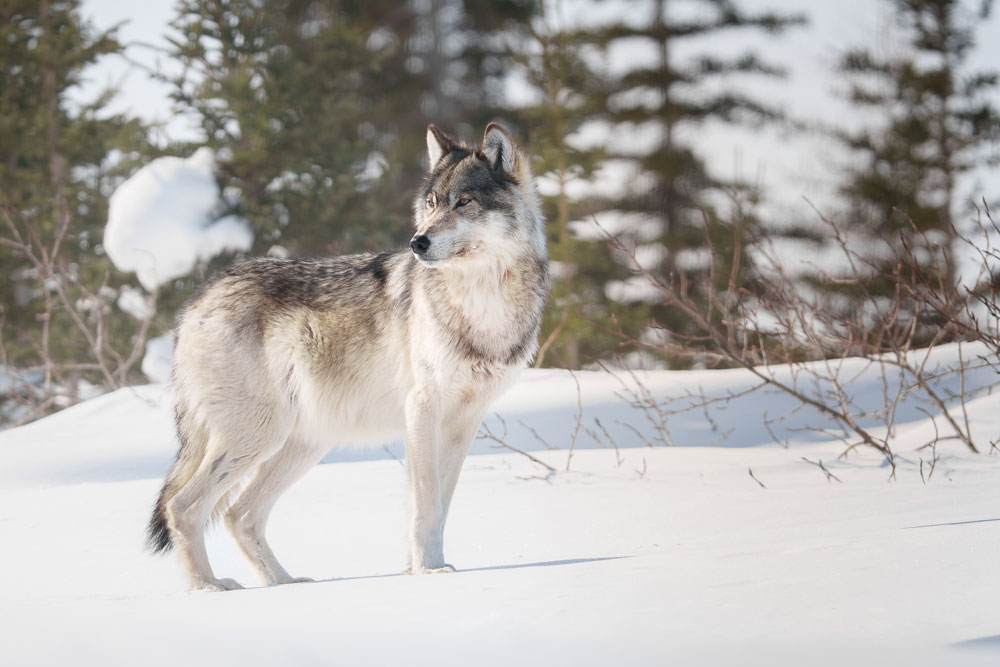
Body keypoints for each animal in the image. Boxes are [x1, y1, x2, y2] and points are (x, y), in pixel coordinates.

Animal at [147, 123, 549, 591]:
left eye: (464, 202)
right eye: (431, 204)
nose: (418, 242)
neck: (482, 304)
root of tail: (199, 298)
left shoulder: (465, 421)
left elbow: (440, 504)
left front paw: (418, 567)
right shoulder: (422, 409)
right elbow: (426, 503)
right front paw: (429, 571)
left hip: (301, 444)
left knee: (238, 515)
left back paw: (285, 584)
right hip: (257, 436)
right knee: (183, 507)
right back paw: (208, 588)